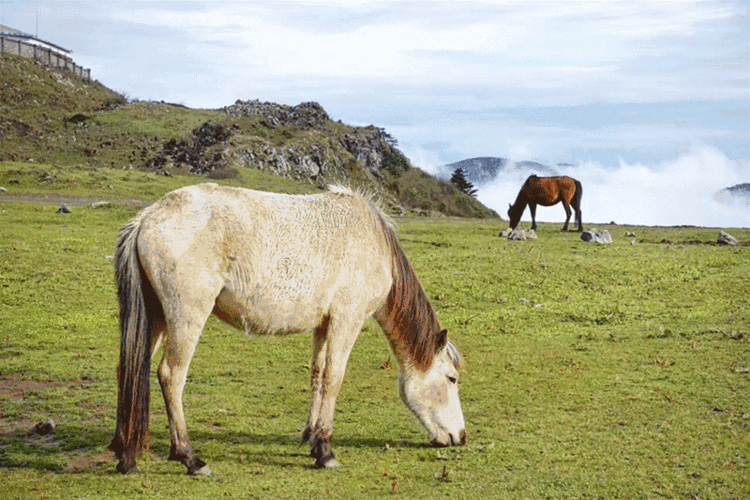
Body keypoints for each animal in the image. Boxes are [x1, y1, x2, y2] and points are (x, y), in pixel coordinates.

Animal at [108, 184, 468, 476]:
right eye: (451, 379)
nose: (460, 437)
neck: (373, 241)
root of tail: (147, 217)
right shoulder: (347, 320)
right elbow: (334, 379)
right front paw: (326, 453)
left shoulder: (324, 325)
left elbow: (318, 376)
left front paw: (311, 438)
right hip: (185, 317)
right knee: (171, 376)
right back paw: (189, 458)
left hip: (156, 319)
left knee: (129, 368)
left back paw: (125, 453)